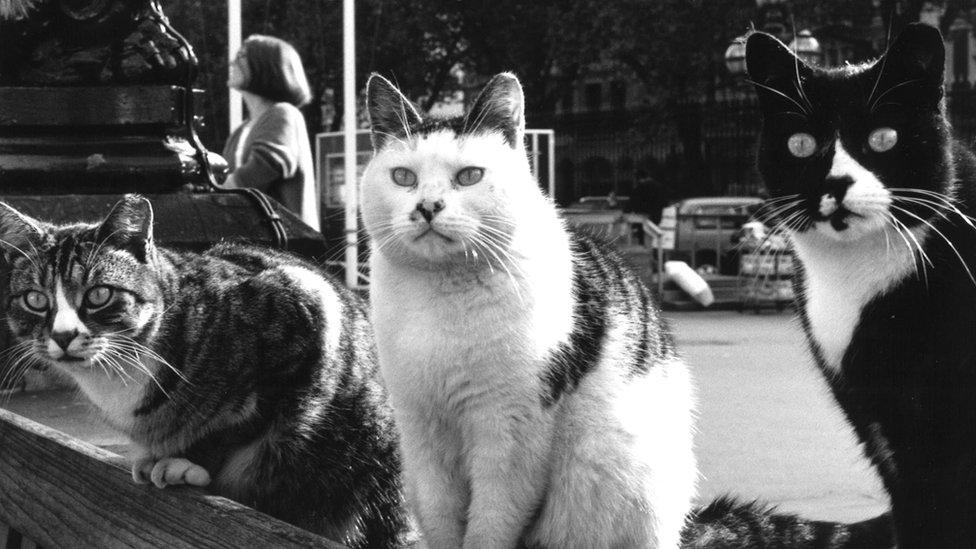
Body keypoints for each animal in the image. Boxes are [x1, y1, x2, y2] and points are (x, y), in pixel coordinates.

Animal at [0, 197, 408, 548]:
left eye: (99, 295)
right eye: (35, 300)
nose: (63, 335)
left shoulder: (304, 315)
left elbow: (237, 425)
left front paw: (185, 461)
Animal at [748, 22, 976, 548]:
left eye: (884, 136)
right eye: (801, 144)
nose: (835, 184)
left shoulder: (943, 435)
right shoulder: (877, 423)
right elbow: (916, 514)